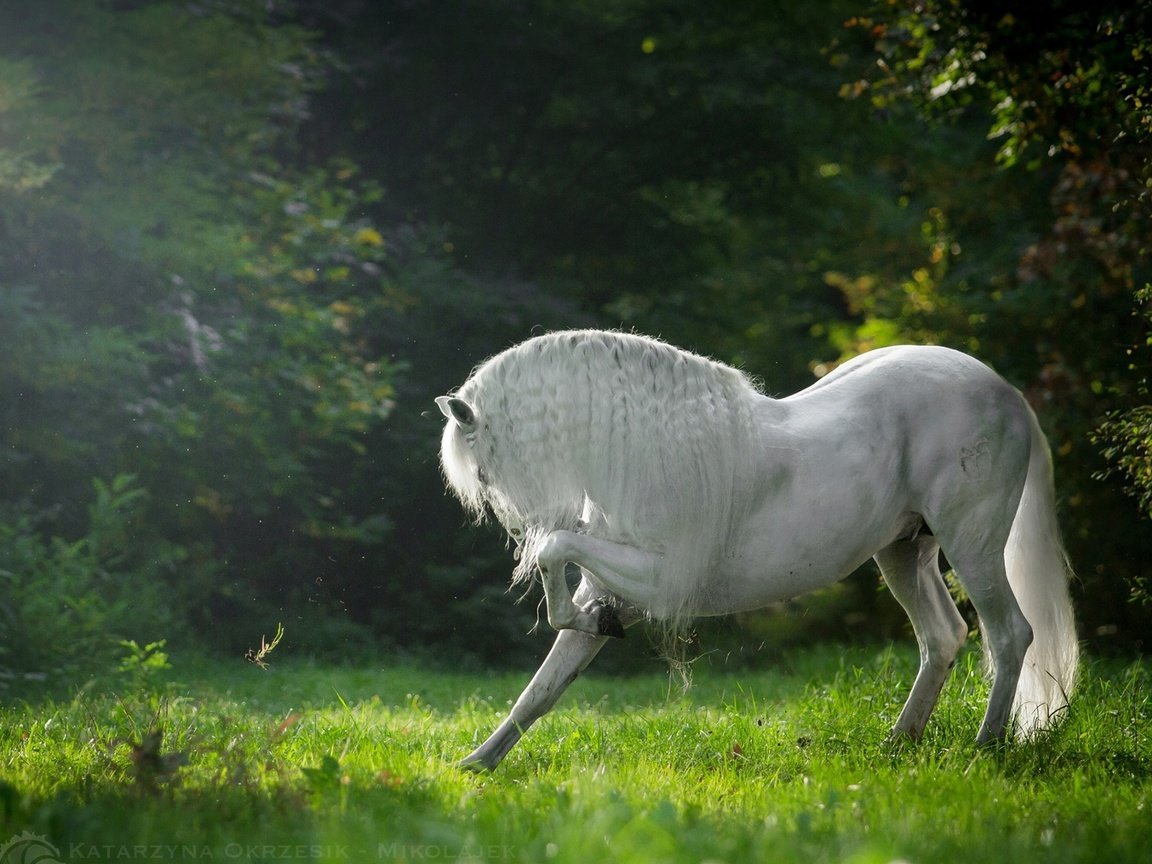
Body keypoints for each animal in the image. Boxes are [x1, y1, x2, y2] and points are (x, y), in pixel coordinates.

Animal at [435, 329, 1073, 769]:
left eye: (484, 471)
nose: (519, 529)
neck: (646, 455)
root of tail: (1004, 391)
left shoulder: (659, 580)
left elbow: (557, 555)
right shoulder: (613, 582)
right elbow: (542, 688)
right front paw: (477, 765)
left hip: (973, 544)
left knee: (1009, 635)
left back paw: (983, 749)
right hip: (904, 554)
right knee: (943, 637)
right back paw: (898, 744)